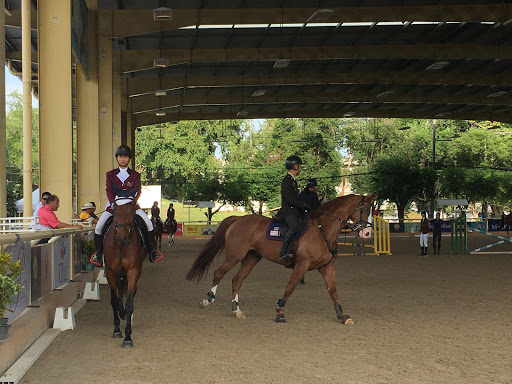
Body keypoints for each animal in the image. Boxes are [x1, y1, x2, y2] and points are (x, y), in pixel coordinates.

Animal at [102, 200, 146, 346]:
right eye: (115, 210)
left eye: (132, 209)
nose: (122, 238)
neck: (121, 246)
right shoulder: (110, 271)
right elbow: (114, 300)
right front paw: (117, 330)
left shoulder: (133, 270)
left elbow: (129, 302)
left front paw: (128, 336)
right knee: (120, 290)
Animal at [186, 194, 374, 322]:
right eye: (365, 209)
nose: (367, 232)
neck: (322, 229)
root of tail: (238, 219)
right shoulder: (302, 265)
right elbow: (290, 287)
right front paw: (280, 312)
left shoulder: (327, 267)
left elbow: (333, 291)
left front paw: (342, 315)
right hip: (234, 256)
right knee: (218, 273)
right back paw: (207, 300)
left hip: (251, 259)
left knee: (236, 280)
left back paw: (237, 311)